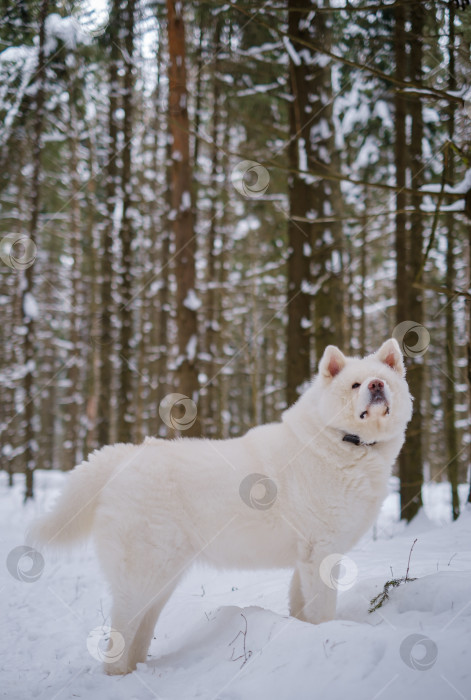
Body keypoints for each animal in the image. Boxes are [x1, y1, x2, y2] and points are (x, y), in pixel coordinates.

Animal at [31, 340, 412, 672]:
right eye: (355, 384)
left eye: (382, 379)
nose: (376, 385)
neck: (343, 442)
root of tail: (122, 457)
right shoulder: (321, 552)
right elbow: (322, 611)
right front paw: (326, 635)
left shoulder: (304, 558)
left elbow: (299, 606)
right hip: (141, 575)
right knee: (120, 632)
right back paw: (118, 675)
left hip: (163, 578)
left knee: (140, 629)